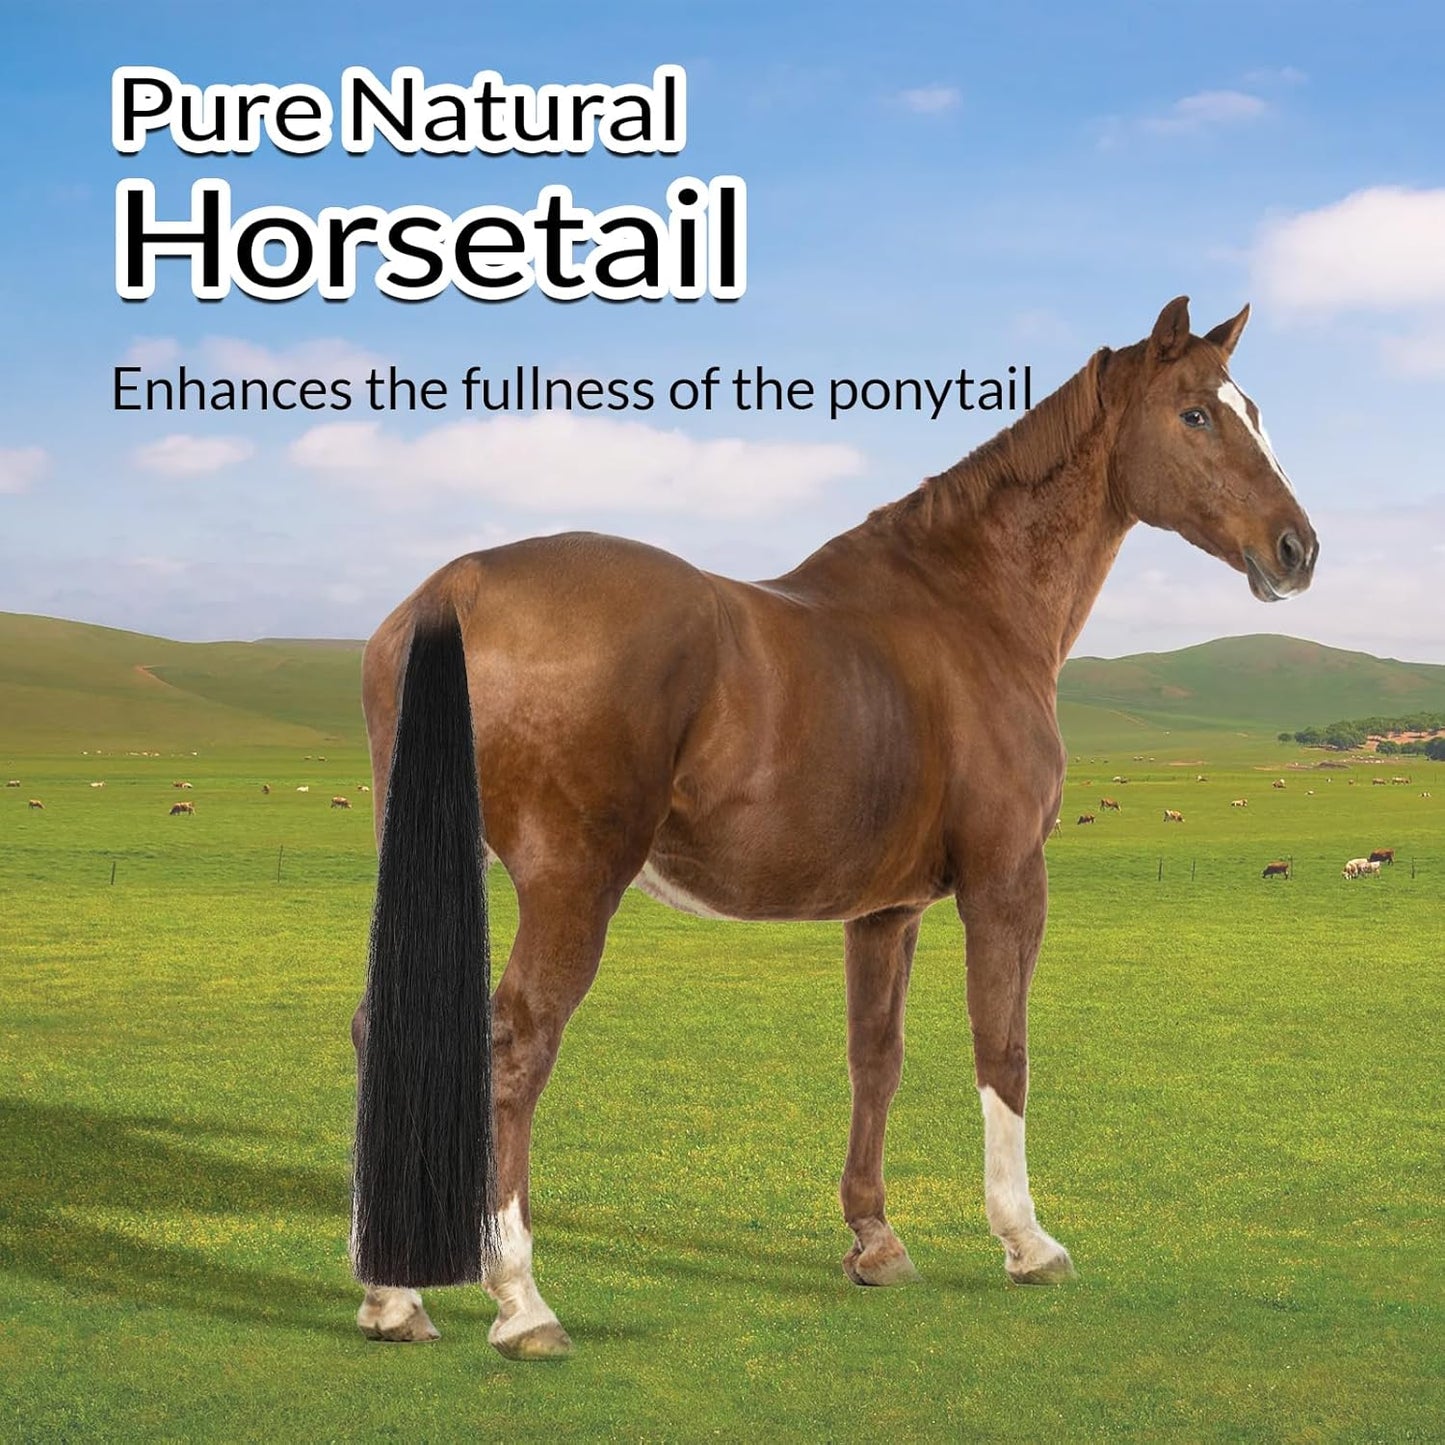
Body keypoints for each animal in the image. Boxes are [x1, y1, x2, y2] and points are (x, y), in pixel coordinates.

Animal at [347, 297, 1317, 1356]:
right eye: (1196, 414)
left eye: (1255, 409)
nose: (1296, 549)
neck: (969, 604)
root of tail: (457, 589)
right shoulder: (1006, 880)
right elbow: (1002, 1049)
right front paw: (1026, 1241)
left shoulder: (884, 910)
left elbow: (875, 1058)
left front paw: (875, 1240)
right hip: (570, 884)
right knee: (515, 1048)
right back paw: (520, 1301)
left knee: (381, 1028)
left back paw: (391, 1293)